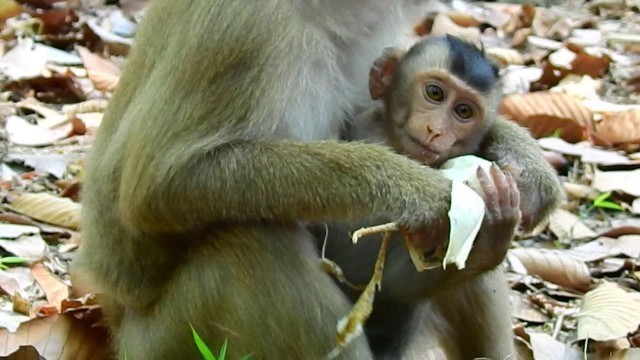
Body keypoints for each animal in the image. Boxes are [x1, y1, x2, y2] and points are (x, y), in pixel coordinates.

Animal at [72, 1, 536, 358]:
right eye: (434, 94)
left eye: (464, 112)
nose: (437, 132)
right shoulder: (244, 29)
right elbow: (158, 186)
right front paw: (414, 189)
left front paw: (528, 165)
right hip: (168, 342)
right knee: (254, 245)